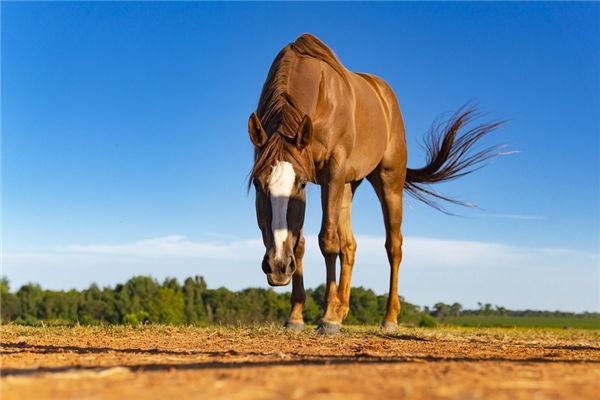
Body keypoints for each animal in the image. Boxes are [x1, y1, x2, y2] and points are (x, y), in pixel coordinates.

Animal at [246, 33, 504, 334]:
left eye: (299, 185)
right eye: (258, 184)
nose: (277, 266)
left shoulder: (331, 173)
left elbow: (327, 241)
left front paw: (327, 318)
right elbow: (301, 243)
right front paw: (297, 316)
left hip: (388, 181)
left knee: (393, 246)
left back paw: (388, 318)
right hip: (348, 185)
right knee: (350, 245)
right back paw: (341, 310)